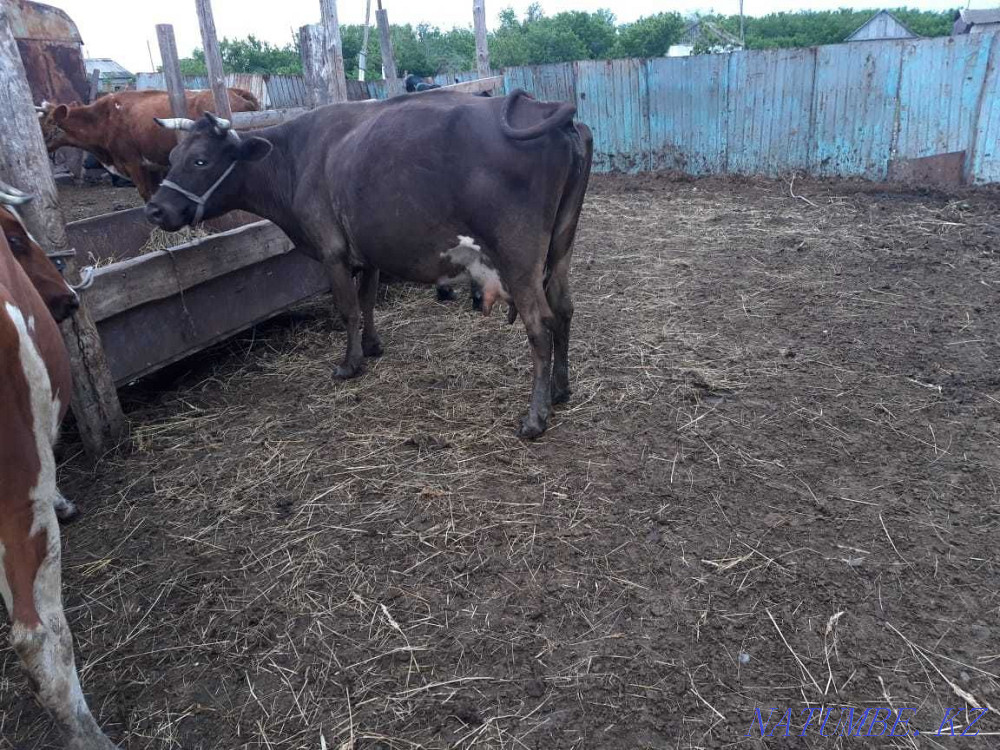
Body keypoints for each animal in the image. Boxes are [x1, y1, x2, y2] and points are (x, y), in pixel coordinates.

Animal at [145, 89, 592, 438]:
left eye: (201, 160)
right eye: (172, 154)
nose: (155, 209)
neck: (295, 158)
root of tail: (545, 110)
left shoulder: (332, 252)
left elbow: (348, 309)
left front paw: (350, 363)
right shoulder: (369, 250)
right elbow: (369, 300)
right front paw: (373, 346)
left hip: (519, 257)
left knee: (540, 324)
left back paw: (535, 417)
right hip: (561, 246)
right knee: (564, 308)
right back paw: (560, 390)